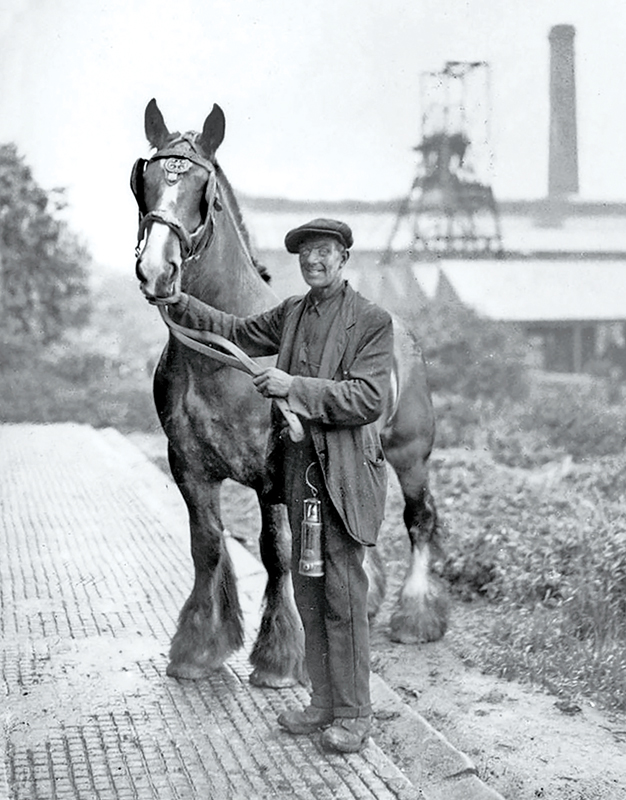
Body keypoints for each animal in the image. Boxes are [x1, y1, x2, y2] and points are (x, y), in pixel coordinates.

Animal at [132, 99, 448, 687]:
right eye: (148, 182)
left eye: (204, 190)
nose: (157, 271)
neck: (220, 360)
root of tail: (403, 332)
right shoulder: (188, 467)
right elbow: (207, 545)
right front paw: (199, 647)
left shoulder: (272, 473)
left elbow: (276, 551)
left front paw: (280, 655)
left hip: (410, 454)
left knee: (420, 519)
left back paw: (416, 616)